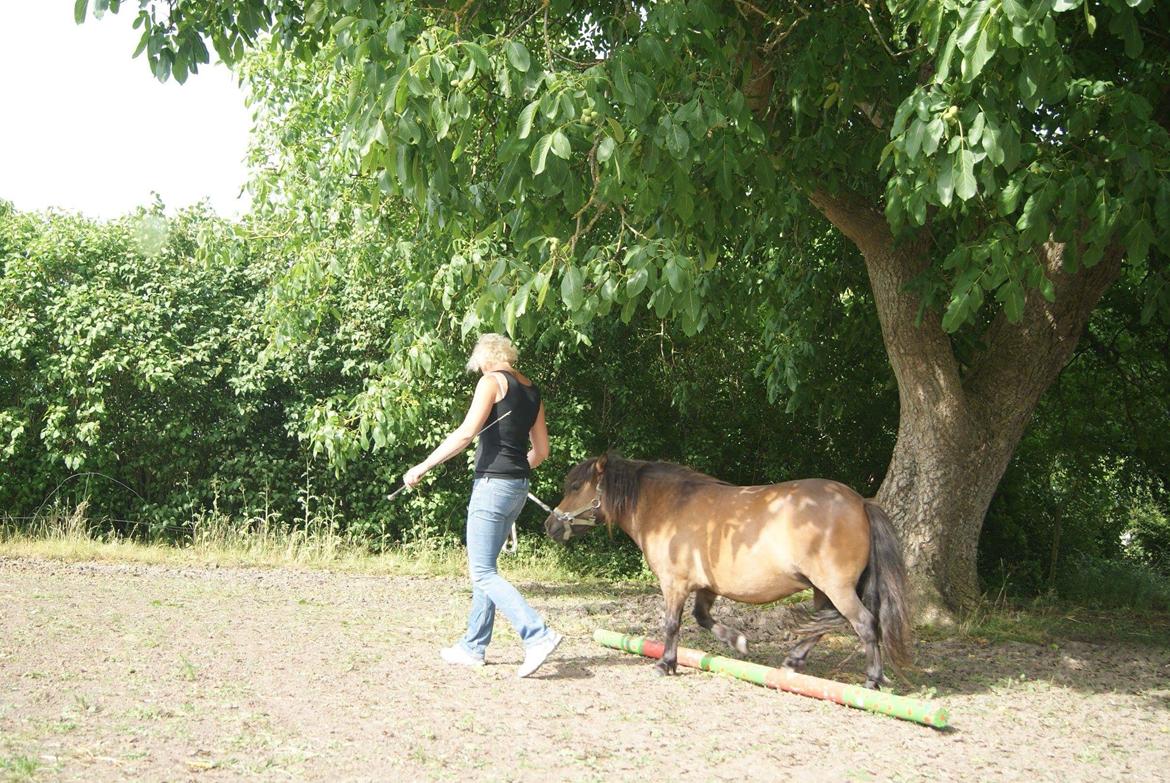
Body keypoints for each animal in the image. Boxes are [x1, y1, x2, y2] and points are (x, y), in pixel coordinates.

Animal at [542, 454, 907, 688]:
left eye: (575, 487)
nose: (550, 525)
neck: (669, 506)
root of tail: (860, 502)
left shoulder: (674, 583)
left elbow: (672, 624)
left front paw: (665, 664)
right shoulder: (707, 587)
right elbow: (703, 618)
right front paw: (739, 643)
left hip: (836, 586)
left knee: (864, 624)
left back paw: (872, 680)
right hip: (821, 588)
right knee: (823, 625)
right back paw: (793, 661)